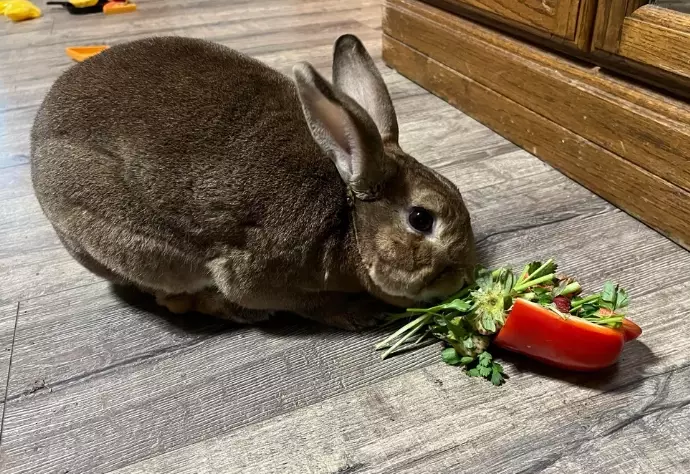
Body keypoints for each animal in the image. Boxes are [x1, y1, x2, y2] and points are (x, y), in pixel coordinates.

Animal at [30, 34, 476, 330]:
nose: (463, 278)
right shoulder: (260, 276)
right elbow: (309, 305)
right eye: (421, 219)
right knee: (171, 297)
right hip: (143, 250)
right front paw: (360, 314)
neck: (347, 222)